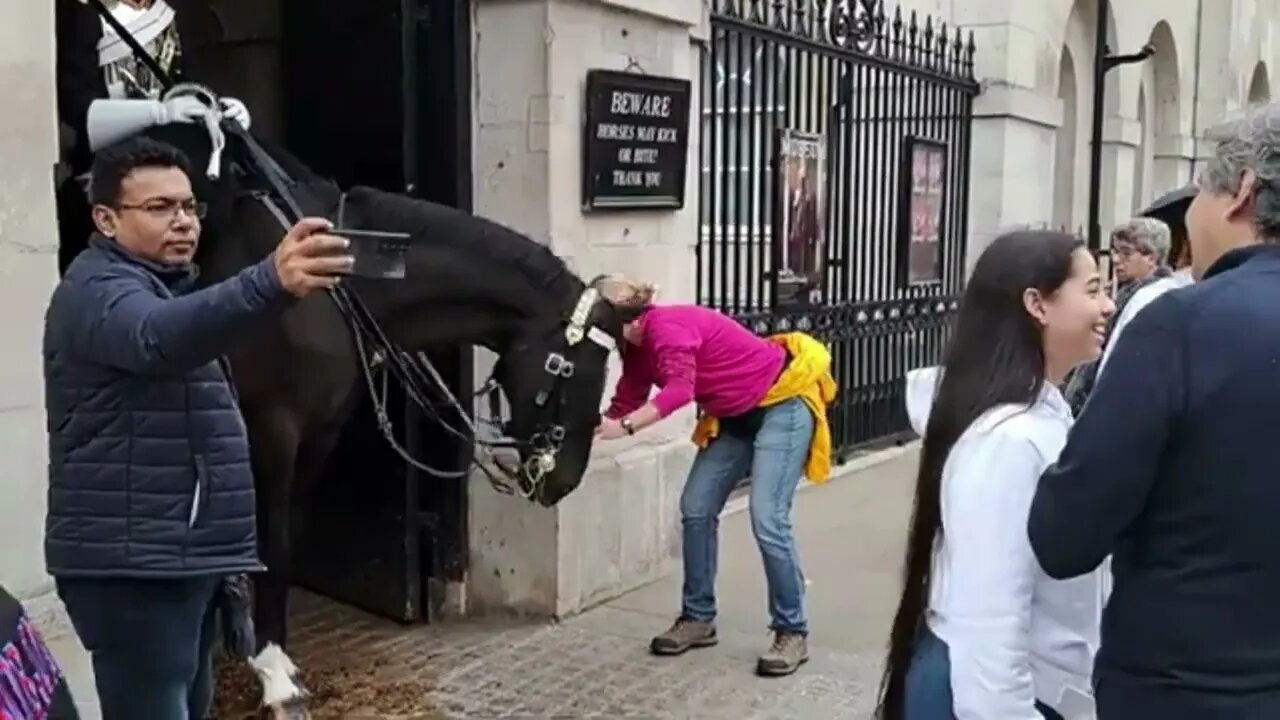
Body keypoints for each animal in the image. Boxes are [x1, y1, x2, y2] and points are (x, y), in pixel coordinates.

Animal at [97, 120, 622, 707]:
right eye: (566, 368)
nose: (566, 480)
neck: (337, 281)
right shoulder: (272, 428)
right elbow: (272, 540)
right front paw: (273, 671)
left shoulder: (320, 430)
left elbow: (290, 533)